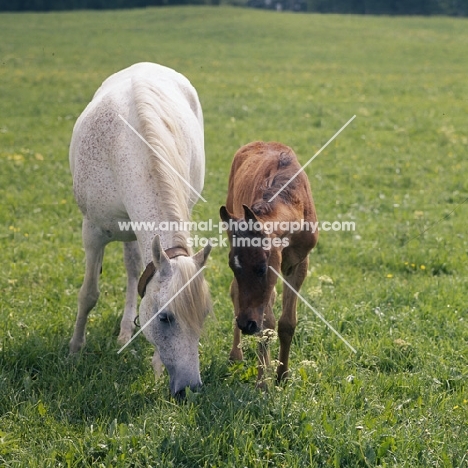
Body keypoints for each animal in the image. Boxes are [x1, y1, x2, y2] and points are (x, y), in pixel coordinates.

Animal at [68, 62, 211, 396]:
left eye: (204, 316)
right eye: (165, 317)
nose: (191, 389)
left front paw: (157, 367)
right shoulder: (92, 232)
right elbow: (88, 294)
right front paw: (74, 350)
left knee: (135, 272)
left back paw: (125, 330)